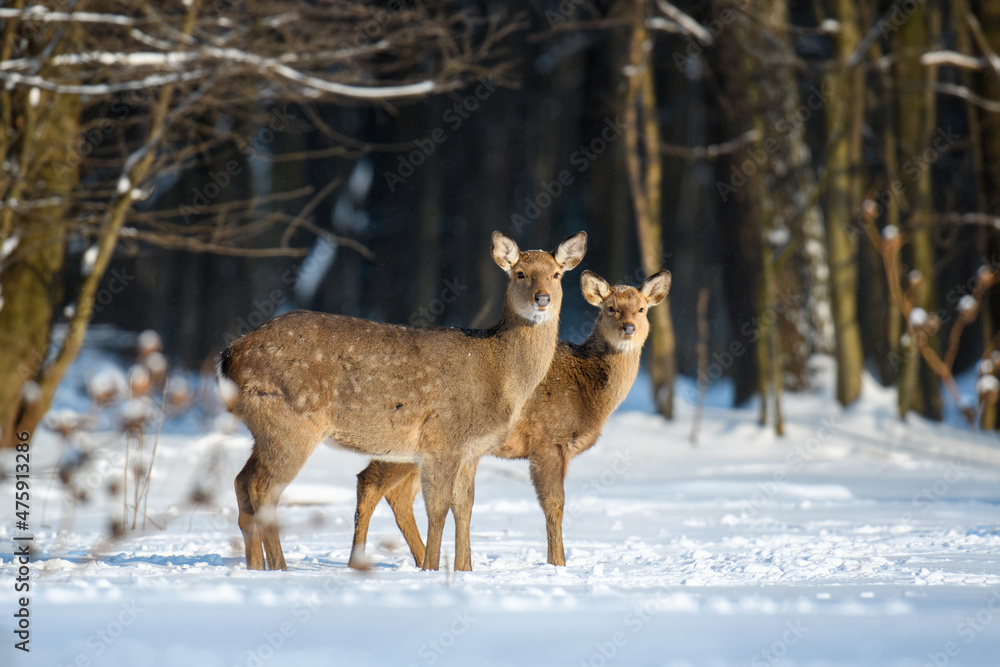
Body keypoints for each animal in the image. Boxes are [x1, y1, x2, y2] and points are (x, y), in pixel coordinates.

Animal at [219, 232, 584, 572]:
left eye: (556, 274)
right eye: (520, 273)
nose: (542, 298)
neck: (500, 374)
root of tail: (229, 356)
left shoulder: (472, 450)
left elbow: (464, 507)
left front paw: (464, 569)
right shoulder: (443, 438)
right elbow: (437, 507)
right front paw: (431, 568)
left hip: (264, 428)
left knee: (241, 480)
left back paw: (255, 566)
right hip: (289, 423)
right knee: (263, 488)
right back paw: (280, 567)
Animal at [350, 268, 672, 568]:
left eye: (641, 308)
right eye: (610, 308)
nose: (628, 328)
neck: (588, 394)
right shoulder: (547, 441)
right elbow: (555, 505)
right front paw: (558, 564)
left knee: (398, 494)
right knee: (371, 480)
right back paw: (360, 562)